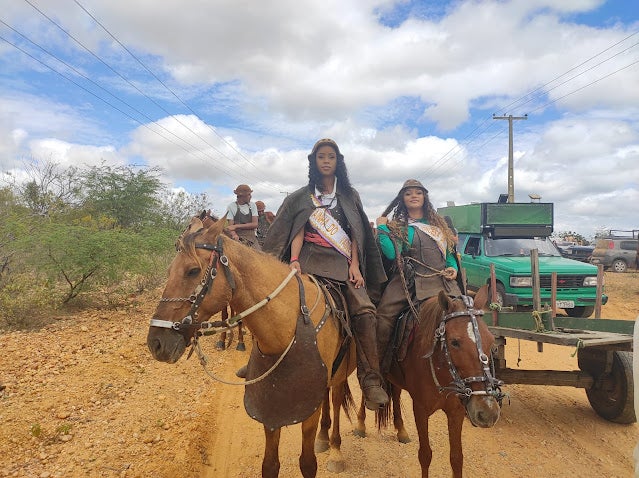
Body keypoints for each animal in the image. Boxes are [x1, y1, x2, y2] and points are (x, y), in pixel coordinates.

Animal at [146, 215, 357, 478]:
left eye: (192, 271)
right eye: (169, 272)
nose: (155, 342)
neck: (291, 323)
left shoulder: (308, 409)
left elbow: (308, 464)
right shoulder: (270, 409)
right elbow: (270, 465)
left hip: (340, 375)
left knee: (336, 401)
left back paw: (336, 448)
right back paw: (324, 437)